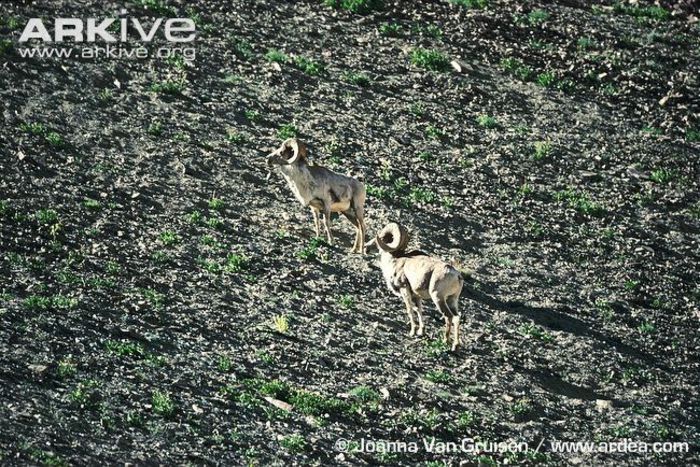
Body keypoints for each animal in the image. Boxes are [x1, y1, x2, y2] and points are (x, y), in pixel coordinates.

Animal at [366, 223, 464, 352]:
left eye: (382, 238)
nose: (366, 248)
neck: (394, 261)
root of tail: (457, 276)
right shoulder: (416, 296)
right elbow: (419, 310)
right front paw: (421, 332)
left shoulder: (405, 290)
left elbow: (410, 310)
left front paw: (412, 332)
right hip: (452, 299)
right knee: (457, 317)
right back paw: (455, 346)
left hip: (438, 298)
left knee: (449, 317)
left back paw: (445, 341)